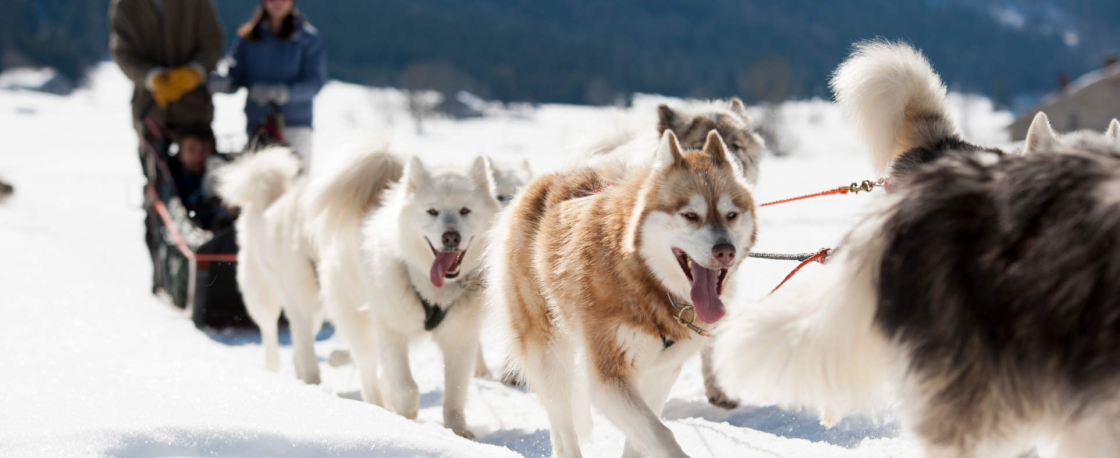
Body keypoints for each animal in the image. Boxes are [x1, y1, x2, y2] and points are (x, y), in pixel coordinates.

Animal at [495, 129, 757, 456]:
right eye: (690, 215)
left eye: (731, 214)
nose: (725, 251)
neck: (651, 287)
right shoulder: (608, 377)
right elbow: (661, 435)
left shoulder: (661, 374)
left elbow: (643, 437)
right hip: (550, 355)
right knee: (564, 429)